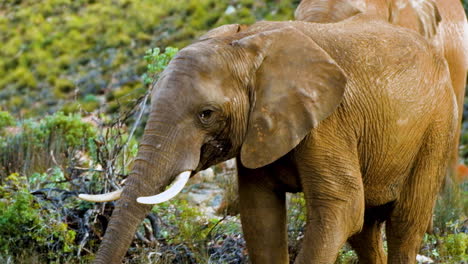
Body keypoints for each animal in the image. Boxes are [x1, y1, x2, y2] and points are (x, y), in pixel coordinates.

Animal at [80, 17, 458, 262]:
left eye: (206, 114)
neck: (246, 45)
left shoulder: (328, 122)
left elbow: (340, 208)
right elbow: (260, 215)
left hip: (439, 128)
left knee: (403, 227)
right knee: (365, 232)